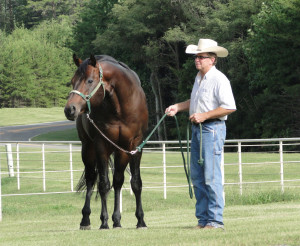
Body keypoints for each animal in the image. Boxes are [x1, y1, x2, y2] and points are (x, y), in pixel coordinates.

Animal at [63, 53, 148, 229]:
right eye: (72, 80)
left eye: (90, 80)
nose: (70, 109)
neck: (121, 108)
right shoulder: (101, 145)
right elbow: (103, 184)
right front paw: (103, 221)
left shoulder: (134, 146)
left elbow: (135, 183)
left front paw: (140, 220)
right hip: (88, 148)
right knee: (91, 179)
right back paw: (86, 219)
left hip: (121, 152)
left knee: (117, 181)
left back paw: (117, 220)